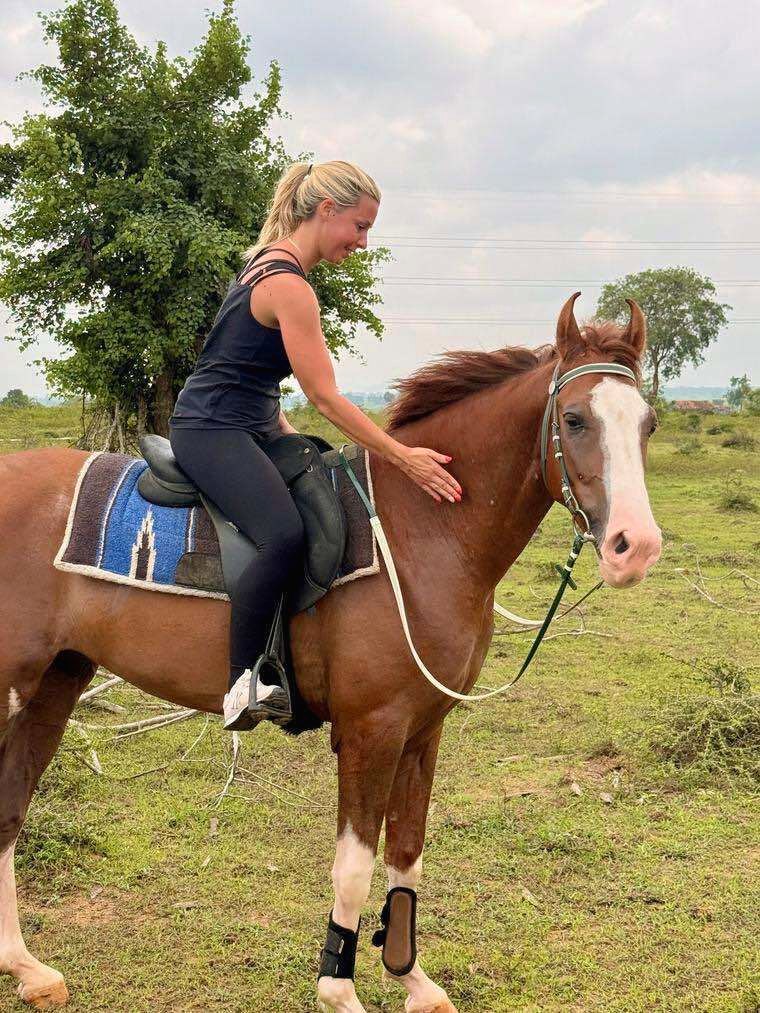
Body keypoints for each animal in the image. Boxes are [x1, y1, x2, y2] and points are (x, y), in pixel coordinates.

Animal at [0, 293, 662, 1012]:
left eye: (648, 423)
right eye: (574, 419)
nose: (635, 546)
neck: (421, 530)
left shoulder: (423, 729)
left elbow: (407, 851)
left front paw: (412, 977)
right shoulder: (373, 729)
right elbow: (353, 865)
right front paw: (338, 986)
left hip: (55, 682)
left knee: (9, 806)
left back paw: (26, 966)